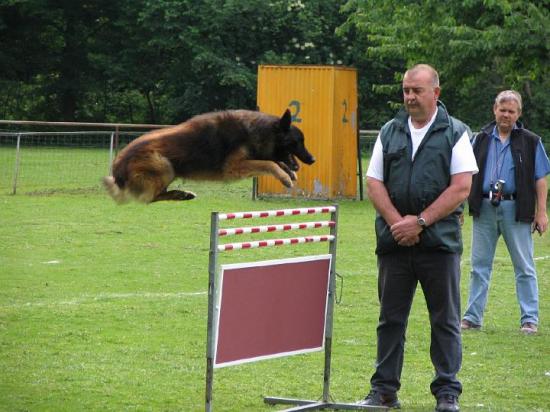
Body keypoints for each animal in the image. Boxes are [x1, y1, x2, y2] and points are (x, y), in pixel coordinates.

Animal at [102, 108, 314, 204]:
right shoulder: (234, 167)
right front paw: (285, 178)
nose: (313, 160)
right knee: (148, 198)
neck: (259, 131)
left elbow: (273, 161)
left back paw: (182, 194)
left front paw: (289, 173)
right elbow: (269, 163)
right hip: (163, 164)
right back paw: (180, 194)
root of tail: (117, 166)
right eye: (298, 141)